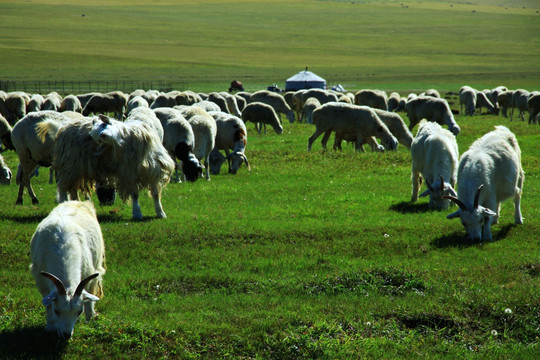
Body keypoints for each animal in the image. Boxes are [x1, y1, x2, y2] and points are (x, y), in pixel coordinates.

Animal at [29, 200, 105, 340]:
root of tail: (77, 202)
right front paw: (51, 326)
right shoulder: (41, 280)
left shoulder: (88, 272)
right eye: (57, 311)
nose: (66, 335)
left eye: (79, 311)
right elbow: (48, 303)